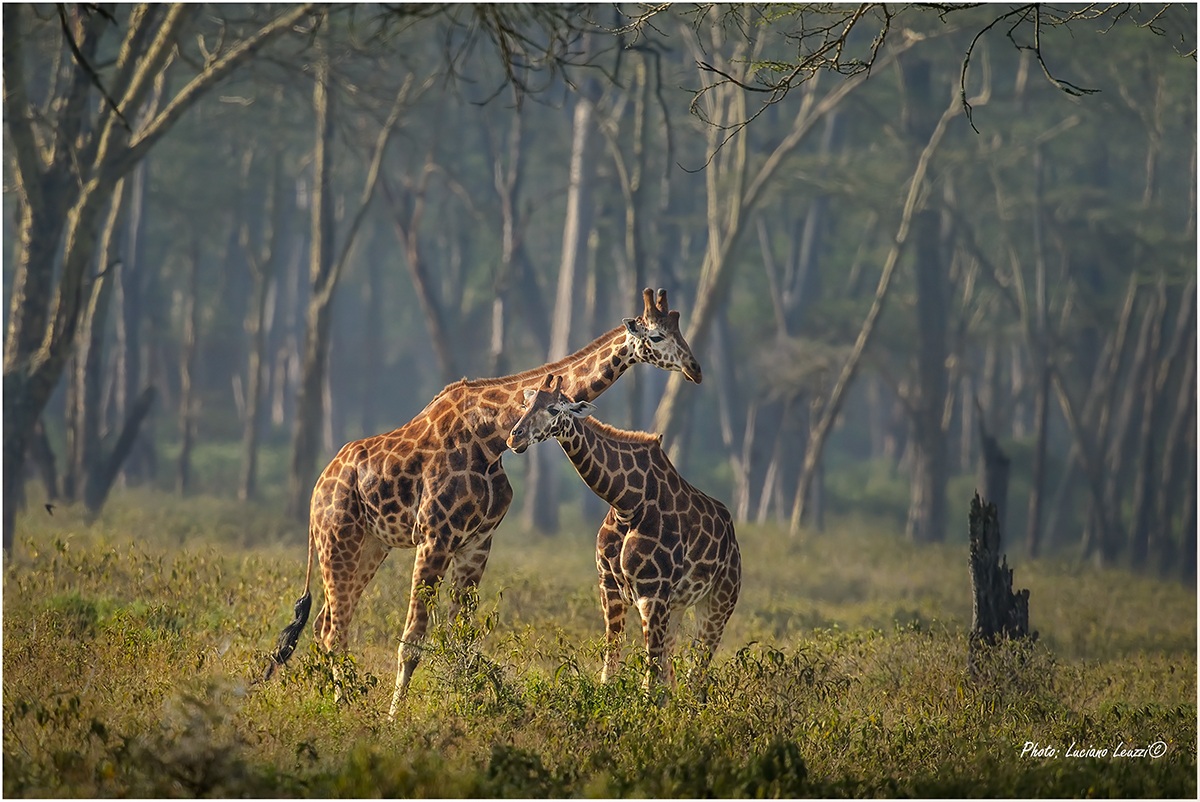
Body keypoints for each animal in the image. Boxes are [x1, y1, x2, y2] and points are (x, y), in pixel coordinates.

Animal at [265, 286, 700, 715]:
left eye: (679, 331)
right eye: (656, 336)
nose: (695, 368)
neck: (489, 438)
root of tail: (318, 488)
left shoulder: (476, 543)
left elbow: (462, 641)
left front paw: (459, 707)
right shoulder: (435, 538)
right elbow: (412, 642)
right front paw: (394, 717)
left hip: (371, 546)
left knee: (324, 622)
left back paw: (341, 701)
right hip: (337, 541)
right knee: (334, 628)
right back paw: (343, 706)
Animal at [506, 376, 739, 696]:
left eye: (553, 409)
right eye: (526, 404)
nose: (514, 438)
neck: (626, 504)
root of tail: (732, 535)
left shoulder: (652, 591)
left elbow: (650, 676)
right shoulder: (609, 586)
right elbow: (613, 661)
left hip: (719, 601)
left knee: (697, 670)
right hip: (680, 605)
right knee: (676, 668)